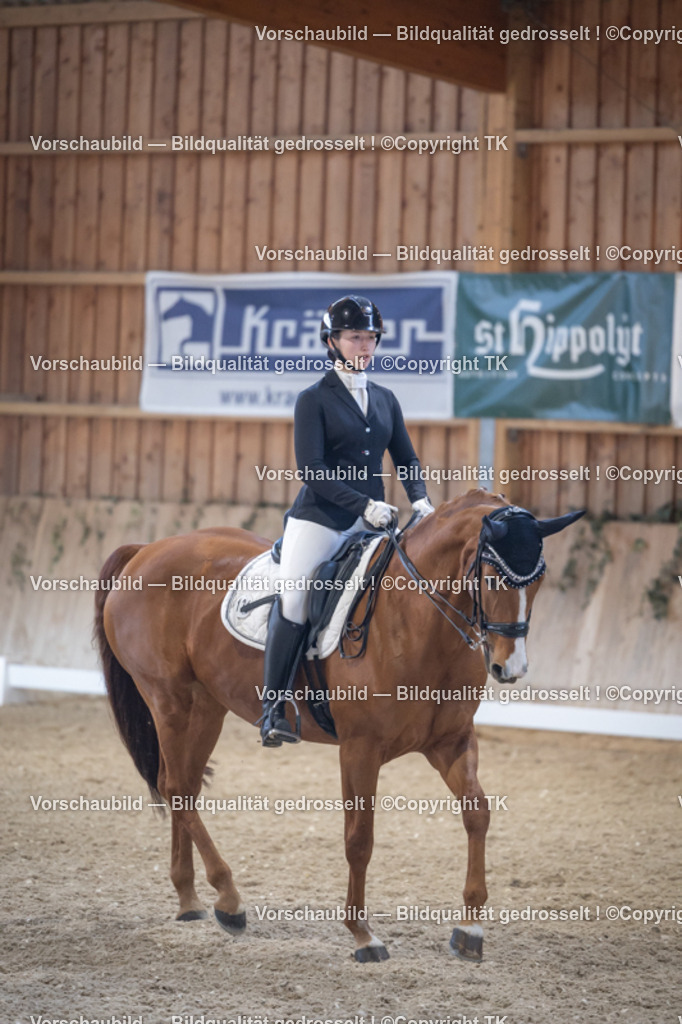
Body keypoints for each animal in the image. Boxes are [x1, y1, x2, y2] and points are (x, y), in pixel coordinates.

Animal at [93, 488, 583, 962]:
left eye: (538, 582)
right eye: (493, 578)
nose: (509, 668)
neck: (418, 623)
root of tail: (146, 550)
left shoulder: (451, 741)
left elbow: (477, 813)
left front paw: (469, 930)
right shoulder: (360, 748)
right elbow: (359, 837)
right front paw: (363, 935)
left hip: (207, 705)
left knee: (185, 785)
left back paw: (190, 900)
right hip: (169, 699)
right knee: (176, 786)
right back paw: (229, 899)